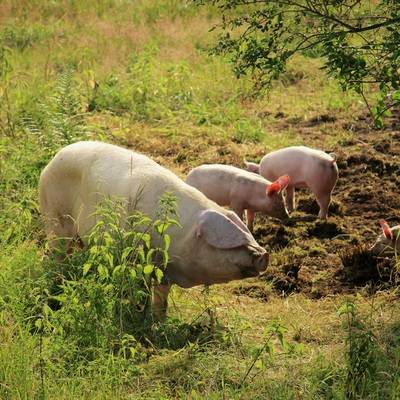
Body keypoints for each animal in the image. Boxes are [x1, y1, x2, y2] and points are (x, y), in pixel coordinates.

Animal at [39, 142, 268, 318]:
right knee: (56, 255)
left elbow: (161, 298)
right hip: (55, 219)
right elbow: (138, 291)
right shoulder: (136, 258)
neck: (182, 236)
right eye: (229, 242)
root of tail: (53, 159)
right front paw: (137, 315)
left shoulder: (163, 271)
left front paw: (159, 320)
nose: (264, 254)